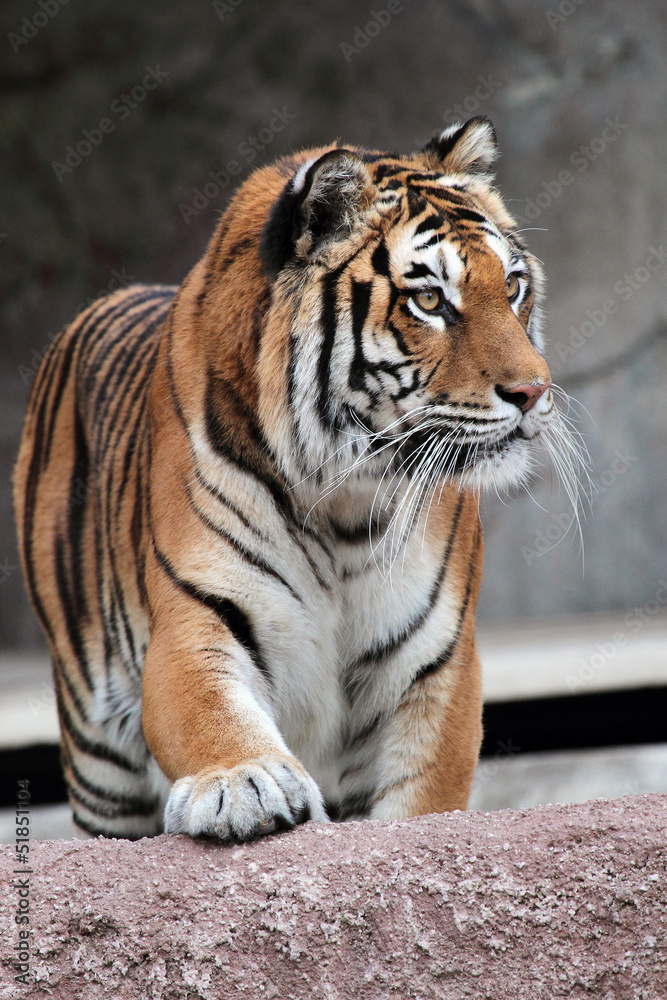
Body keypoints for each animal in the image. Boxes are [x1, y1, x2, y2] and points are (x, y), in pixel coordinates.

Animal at [14, 116, 574, 842]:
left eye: (511, 287)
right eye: (428, 300)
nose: (534, 391)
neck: (348, 497)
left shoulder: (431, 659)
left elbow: (422, 798)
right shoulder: (197, 614)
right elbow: (207, 711)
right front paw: (244, 784)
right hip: (96, 750)